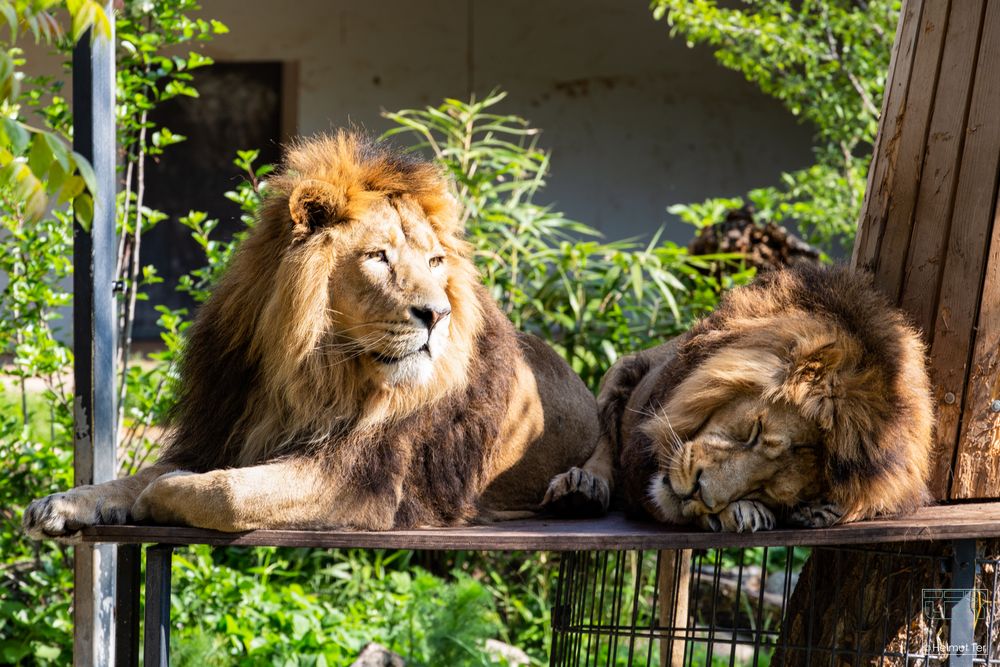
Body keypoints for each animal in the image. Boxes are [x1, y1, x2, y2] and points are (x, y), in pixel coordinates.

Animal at [23, 132, 600, 536]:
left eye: (436, 262)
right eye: (378, 256)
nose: (437, 315)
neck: (308, 369)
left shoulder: (362, 485)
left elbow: (225, 494)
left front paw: (156, 499)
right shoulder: (223, 432)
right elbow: (134, 476)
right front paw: (61, 502)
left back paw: (580, 489)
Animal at [548, 264, 928, 532]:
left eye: (766, 490)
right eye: (754, 431)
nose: (698, 492)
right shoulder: (637, 465)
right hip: (623, 369)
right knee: (602, 439)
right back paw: (581, 490)